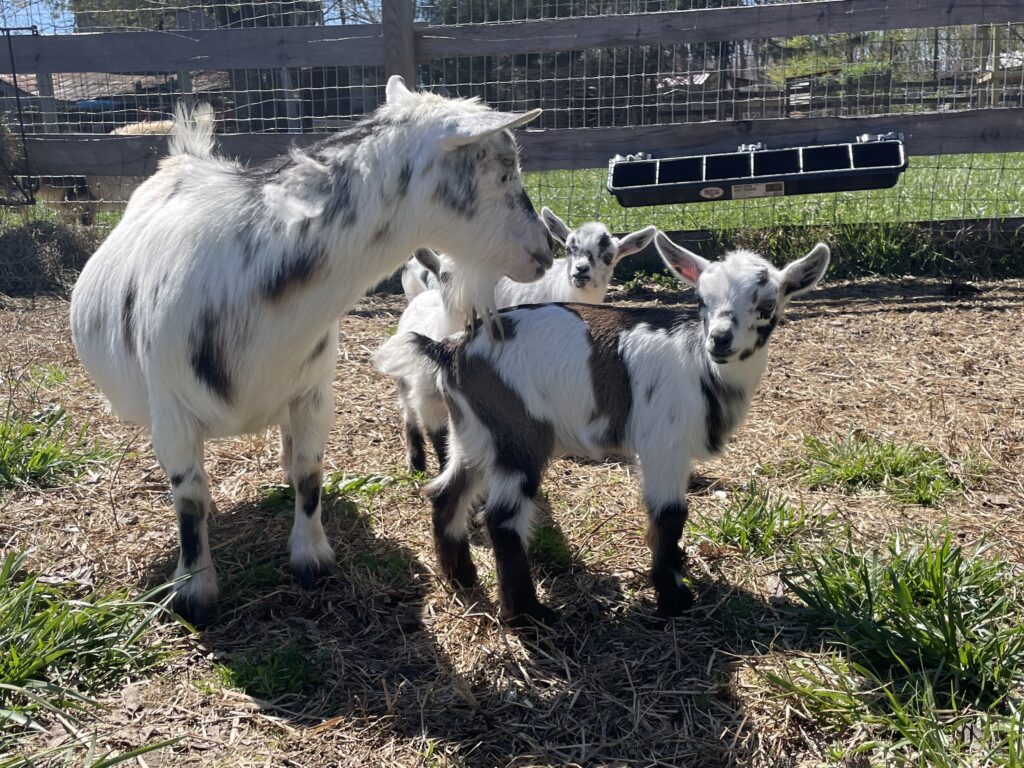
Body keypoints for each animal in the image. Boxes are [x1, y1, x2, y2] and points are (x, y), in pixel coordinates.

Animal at [69, 76, 553, 625]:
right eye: (505, 169)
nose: (545, 251)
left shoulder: (314, 393)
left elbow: (309, 473)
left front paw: (311, 556)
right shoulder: (171, 411)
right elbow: (190, 499)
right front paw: (194, 589)